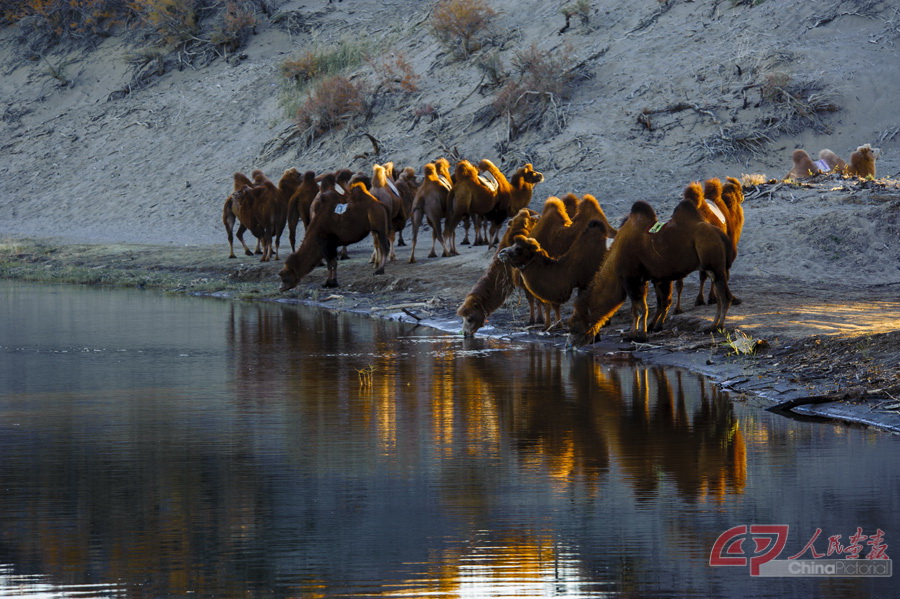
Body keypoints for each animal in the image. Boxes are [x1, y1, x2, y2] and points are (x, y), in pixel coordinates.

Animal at [568, 188, 732, 346]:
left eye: (574, 327)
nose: (569, 345)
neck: (615, 260)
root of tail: (720, 233)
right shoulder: (641, 280)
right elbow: (637, 309)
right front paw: (632, 334)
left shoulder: (631, 279)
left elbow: (640, 310)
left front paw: (641, 336)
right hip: (713, 267)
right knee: (720, 295)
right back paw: (712, 326)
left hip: (713, 263)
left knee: (724, 296)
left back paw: (717, 326)